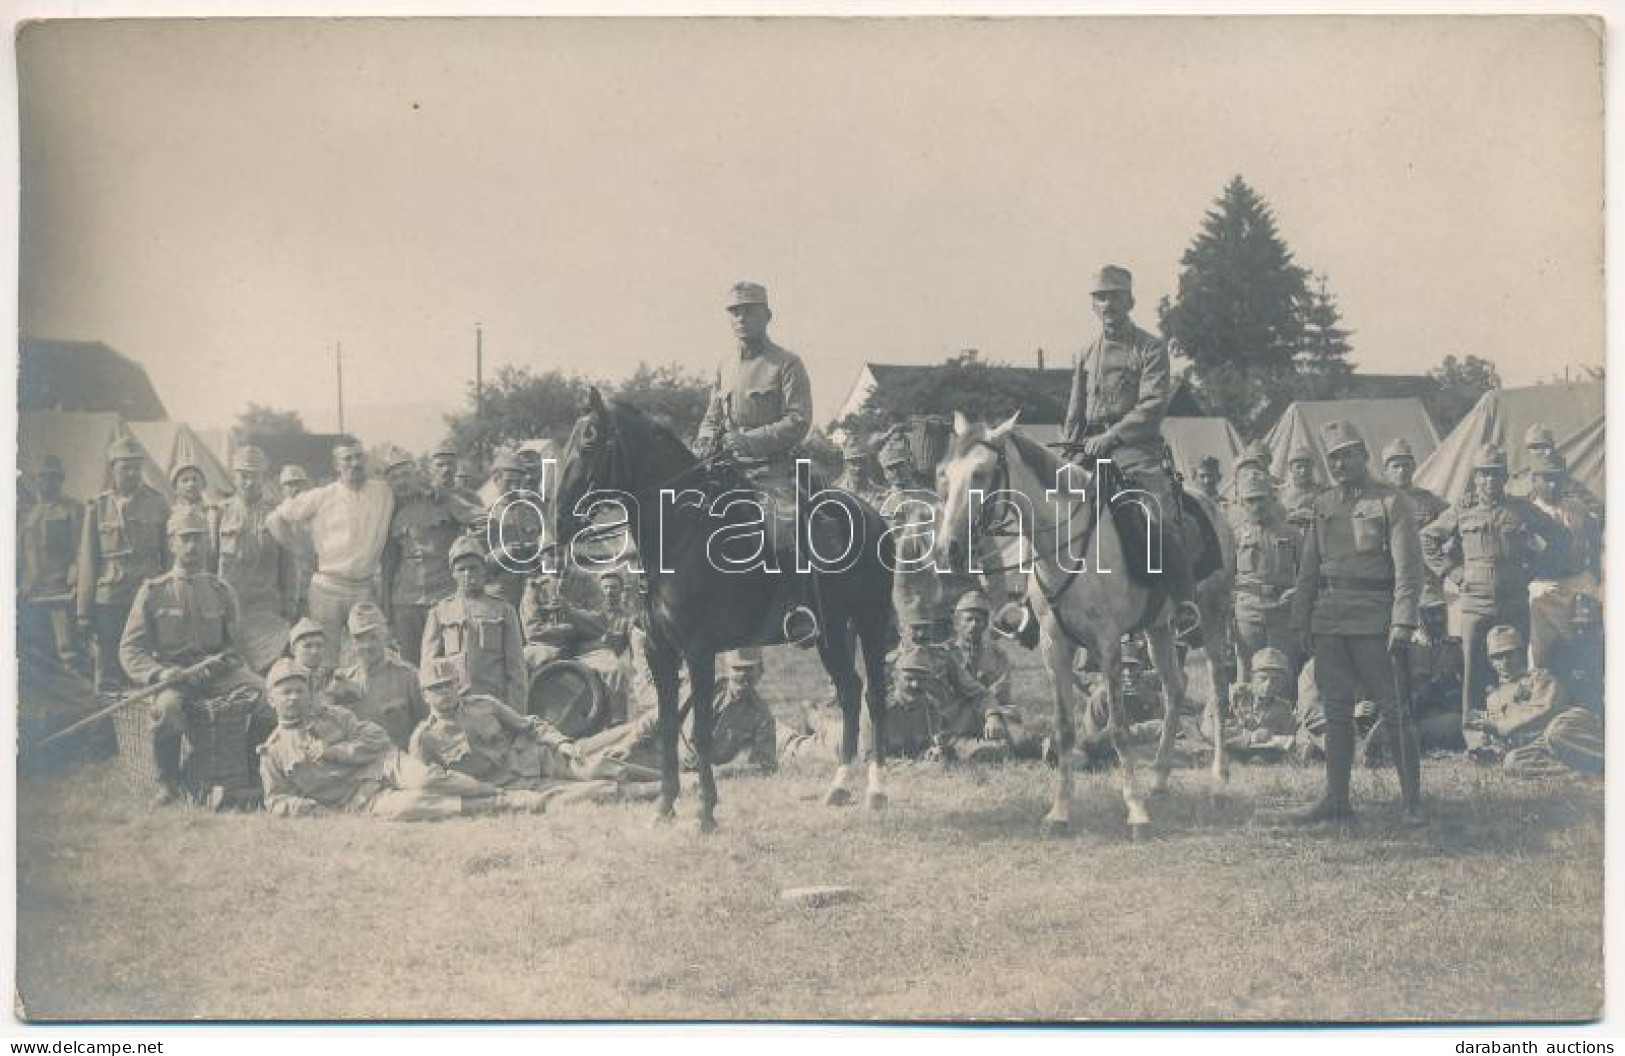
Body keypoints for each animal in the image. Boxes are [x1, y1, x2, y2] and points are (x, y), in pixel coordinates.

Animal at [555, 389, 890, 825]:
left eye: (589, 442)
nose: (559, 519)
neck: (681, 536)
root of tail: (872, 515)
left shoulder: (699, 652)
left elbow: (701, 732)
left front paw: (705, 811)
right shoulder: (660, 652)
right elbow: (667, 726)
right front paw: (664, 807)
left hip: (871, 622)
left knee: (875, 698)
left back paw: (877, 791)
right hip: (831, 632)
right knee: (850, 691)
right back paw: (838, 787)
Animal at [936, 407, 1222, 831]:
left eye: (982, 473)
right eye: (945, 473)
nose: (948, 548)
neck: (1066, 545)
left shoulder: (1108, 642)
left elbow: (1118, 727)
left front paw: (1135, 809)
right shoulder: (1055, 644)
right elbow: (1065, 728)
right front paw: (1060, 810)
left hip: (1217, 619)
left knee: (1219, 690)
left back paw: (1220, 777)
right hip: (1160, 630)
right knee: (1175, 689)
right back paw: (1159, 777)